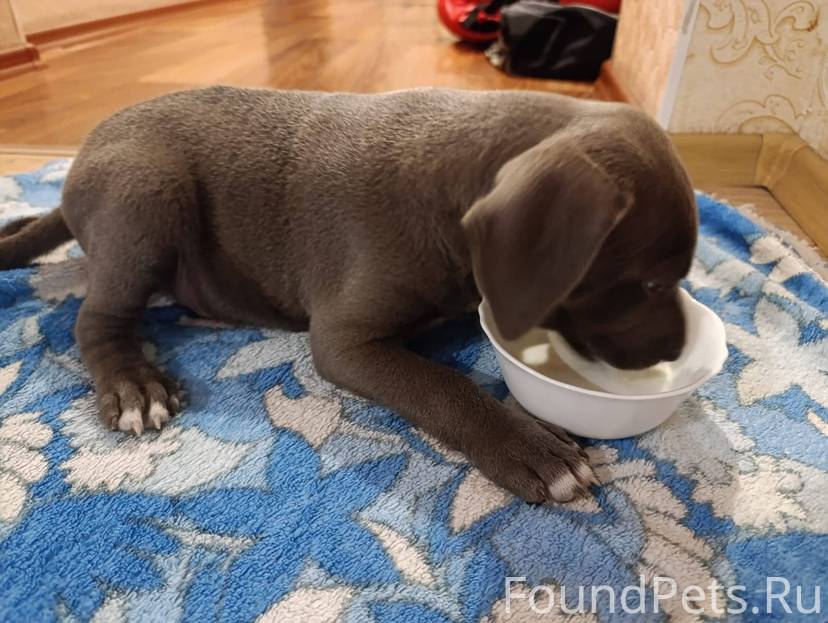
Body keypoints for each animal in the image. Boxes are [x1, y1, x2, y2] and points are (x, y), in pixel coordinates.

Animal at [0, 87, 696, 503]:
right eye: (653, 283)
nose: (678, 350)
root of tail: (79, 162)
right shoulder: (344, 342)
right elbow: (443, 385)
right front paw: (528, 446)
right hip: (148, 189)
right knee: (96, 319)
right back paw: (133, 385)